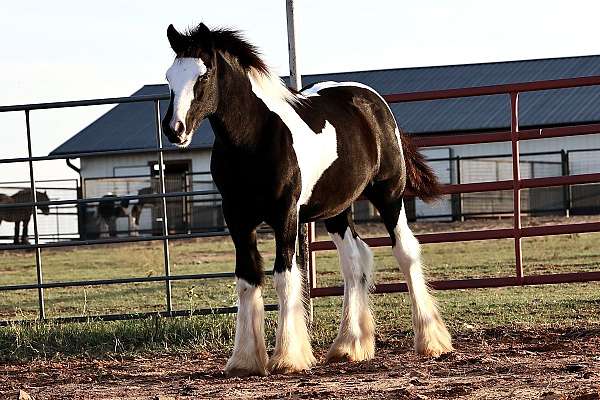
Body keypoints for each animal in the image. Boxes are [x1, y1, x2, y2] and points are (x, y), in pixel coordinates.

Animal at [162, 24, 452, 376]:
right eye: (169, 77)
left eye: (202, 76)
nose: (174, 129)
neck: (253, 139)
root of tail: (372, 102)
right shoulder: (238, 218)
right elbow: (247, 278)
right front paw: (245, 359)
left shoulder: (285, 214)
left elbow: (285, 277)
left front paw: (288, 356)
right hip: (337, 210)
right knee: (354, 261)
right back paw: (348, 346)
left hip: (389, 195)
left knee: (405, 251)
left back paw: (430, 341)